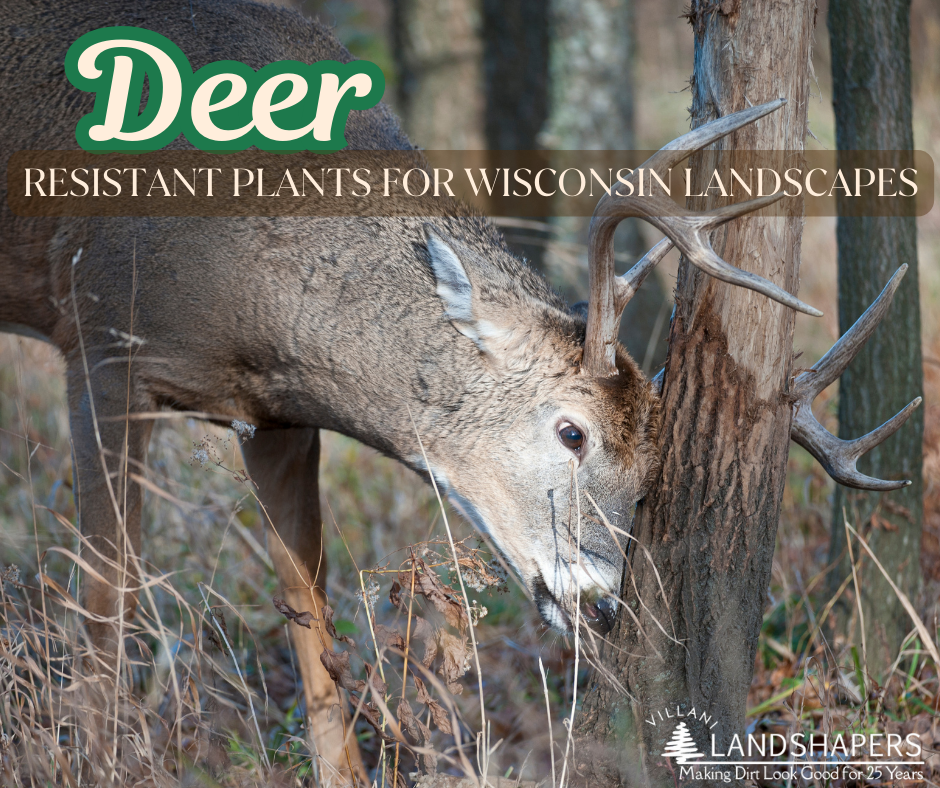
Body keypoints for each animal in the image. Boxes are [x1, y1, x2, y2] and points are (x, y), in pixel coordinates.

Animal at [0, 0, 919, 783]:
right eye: (573, 432)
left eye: (651, 473)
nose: (601, 606)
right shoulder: (101, 343)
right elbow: (103, 594)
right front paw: (92, 761)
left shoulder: (276, 416)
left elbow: (310, 608)